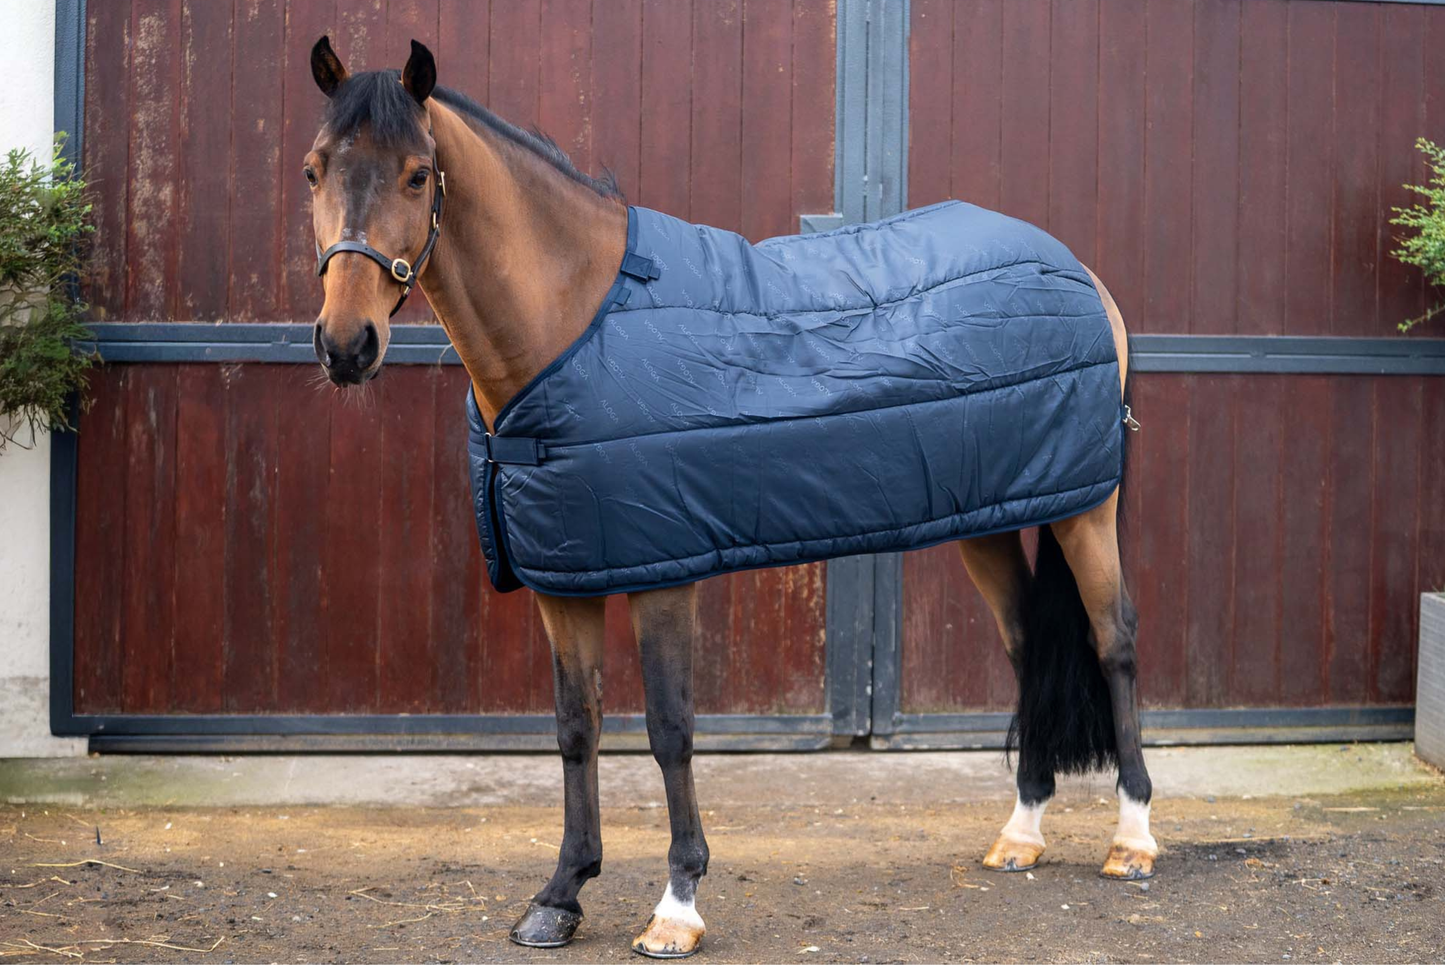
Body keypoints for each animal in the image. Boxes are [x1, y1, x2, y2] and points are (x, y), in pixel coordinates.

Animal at [302, 37, 1156, 958]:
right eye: (314, 169)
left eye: (418, 174)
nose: (346, 345)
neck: (579, 324)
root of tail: (1077, 269)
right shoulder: (565, 577)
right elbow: (575, 725)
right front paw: (561, 894)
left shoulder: (664, 571)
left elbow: (670, 730)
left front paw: (676, 905)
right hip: (991, 520)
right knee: (1027, 647)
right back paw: (1020, 833)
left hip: (1082, 510)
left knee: (1112, 639)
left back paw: (1132, 838)